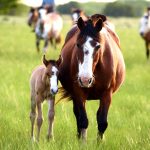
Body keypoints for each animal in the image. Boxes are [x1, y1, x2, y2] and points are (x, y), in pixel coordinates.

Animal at [58, 14, 125, 142]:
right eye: (78, 44)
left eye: (98, 46)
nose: (85, 79)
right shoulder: (78, 92)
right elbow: (83, 120)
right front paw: (82, 142)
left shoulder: (107, 94)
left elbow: (102, 122)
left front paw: (99, 143)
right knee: (77, 115)